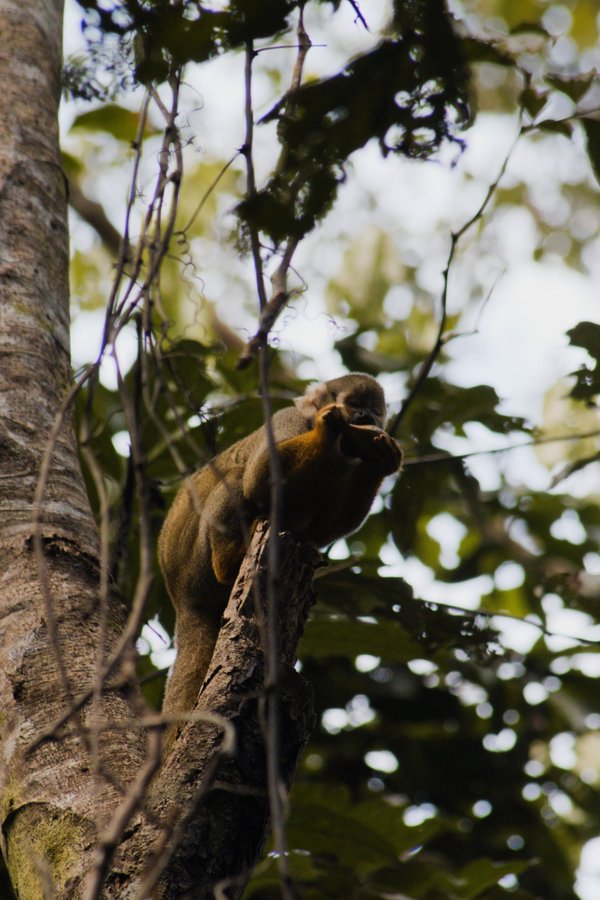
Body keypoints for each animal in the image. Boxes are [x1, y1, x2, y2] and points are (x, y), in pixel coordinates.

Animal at [158, 373, 402, 740]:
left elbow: (320, 529)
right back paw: (228, 563)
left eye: (374, 415)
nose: (364, 419)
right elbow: (259, 479)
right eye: (355, 406)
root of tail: (182, 601)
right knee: (237, 477)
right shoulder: (288, 418)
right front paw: (327, 428)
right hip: (194, 564)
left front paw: (382, 460)